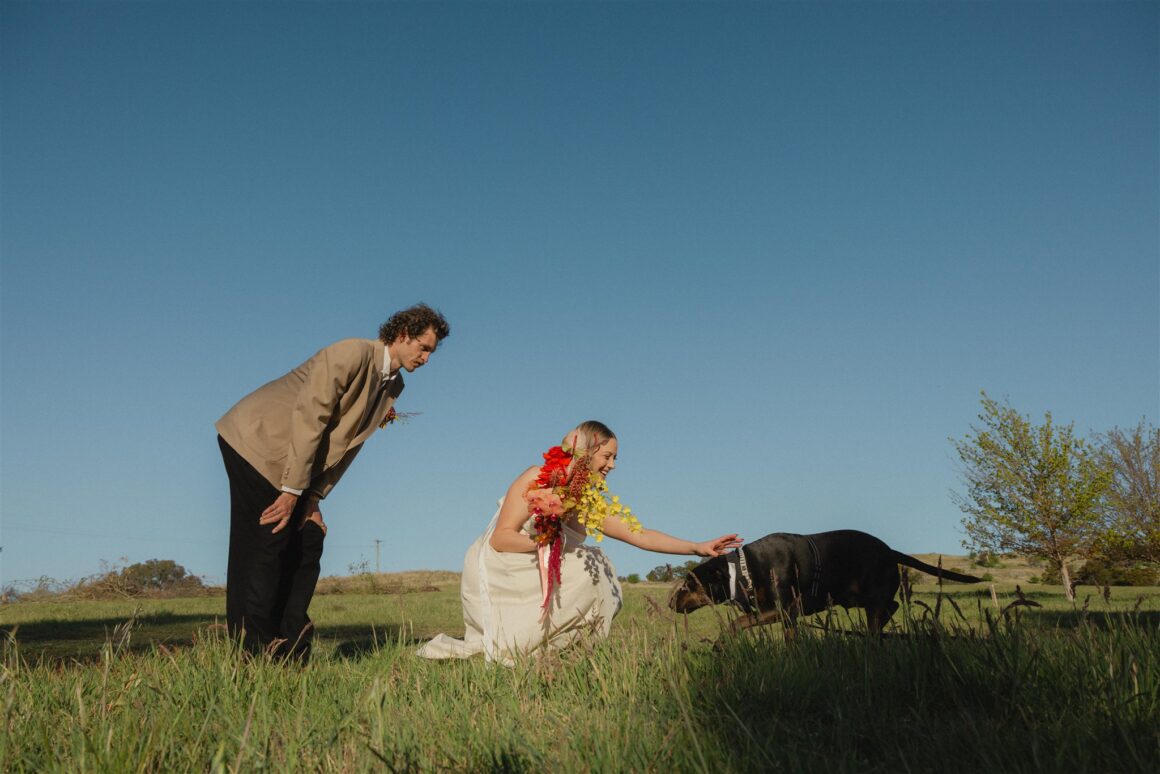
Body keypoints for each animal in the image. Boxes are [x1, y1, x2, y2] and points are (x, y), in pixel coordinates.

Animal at [669, 530, 982, 635]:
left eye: (688, 584)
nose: (670, 602)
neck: (745, 570)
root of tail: (891, 551)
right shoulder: (786, 615)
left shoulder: (780, 609)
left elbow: (737, 623)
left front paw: (721, 643)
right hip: (855, 596)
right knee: (889, 607)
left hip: (869, 594)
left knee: (884, 608)